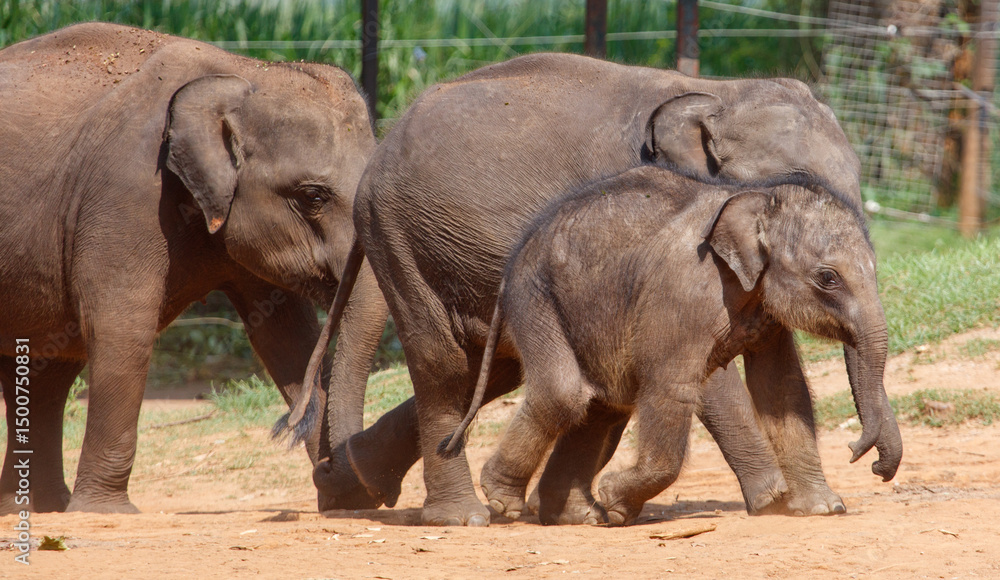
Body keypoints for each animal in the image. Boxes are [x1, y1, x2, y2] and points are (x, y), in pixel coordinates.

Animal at [0, 22, 377, 514]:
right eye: (312, 196)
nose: (288, 428)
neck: (244, 71)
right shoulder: (127, 192)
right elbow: (121, 326)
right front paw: (107, 513)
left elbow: (285, 335)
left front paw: (343, 502)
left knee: (47, 365)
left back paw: (35, 508)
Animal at [443, 165, 902, 526]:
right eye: (828, 278)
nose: (864, 458)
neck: (755, 194)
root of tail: (515, 259)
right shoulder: (680, 295)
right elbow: (673, 387)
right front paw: (615, 500)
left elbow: (782, 388)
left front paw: (823, 509)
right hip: (536, 299)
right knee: (565, 394)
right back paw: (505, 502)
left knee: (603, 400)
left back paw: (581, 515)